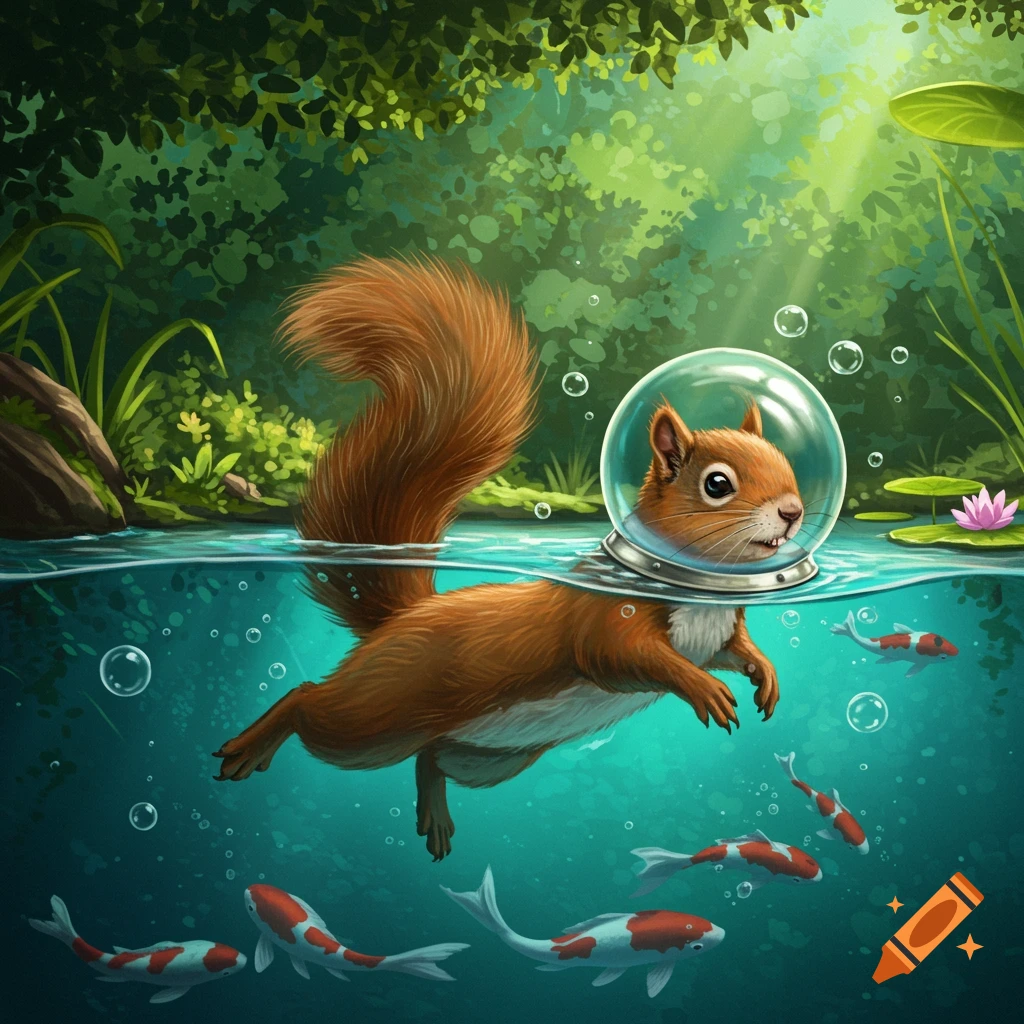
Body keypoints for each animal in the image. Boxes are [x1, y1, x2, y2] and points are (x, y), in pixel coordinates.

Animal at [214, 256, 803, 861]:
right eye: (717, 484)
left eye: (786, 462)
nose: (793, 511)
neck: (700, 593)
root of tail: (403, 619)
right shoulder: (605, 620)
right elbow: (625, 654)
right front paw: (703, 688)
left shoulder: (718, 631)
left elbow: (736, 650)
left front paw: (765, 674)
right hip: (375, 717)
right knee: (311, 703)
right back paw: (250, 744)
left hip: (489, 756)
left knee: (431, 758)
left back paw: (435, 816)